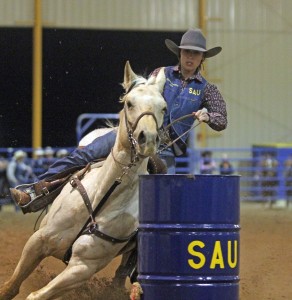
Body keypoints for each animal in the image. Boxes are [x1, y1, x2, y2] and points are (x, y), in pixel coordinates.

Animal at [0, 61, 167, 300]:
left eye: (163, 108)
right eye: (129, 103)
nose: (149, 139)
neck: (105, 194)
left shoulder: (82, 268)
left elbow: (36, 296)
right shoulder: (40, 240)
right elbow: (11, 287)